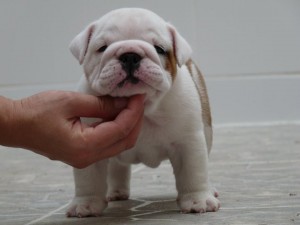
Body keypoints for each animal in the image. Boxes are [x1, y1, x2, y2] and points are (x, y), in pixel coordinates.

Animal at [66, 7, 220, 217]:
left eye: (160, 49)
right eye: (102, 48)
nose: (130, 55)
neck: (145, 108)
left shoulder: (188, 142)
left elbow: (193, 171)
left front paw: (198, 200)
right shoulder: (91, 145)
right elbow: (88, 178)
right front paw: (86, 204)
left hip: (207, 133)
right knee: (117, 168)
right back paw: (116, 192)